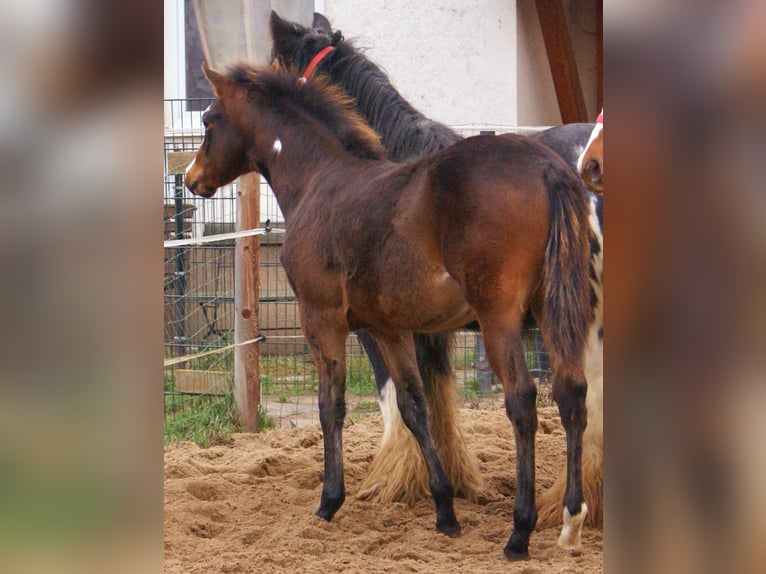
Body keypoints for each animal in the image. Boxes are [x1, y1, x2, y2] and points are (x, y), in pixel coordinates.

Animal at [185, 64, 593, 559]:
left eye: (208, 121)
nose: (190, 179)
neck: (320, 180)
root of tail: (546, 166)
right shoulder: (390, 329)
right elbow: (414, 407)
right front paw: (445, 511)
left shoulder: (321, 320)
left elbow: (331, 406)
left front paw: (329, 502)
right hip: (554, 310)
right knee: (572, 395)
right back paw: (571, 518)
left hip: (500, 317)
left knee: (522, 401)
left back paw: (520, 531)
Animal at [270, 11, 604, 529]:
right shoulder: (427, 327)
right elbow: (436, 395)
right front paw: (454, 482)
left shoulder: (374, 325)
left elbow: (398, 397)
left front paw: (396, 479)